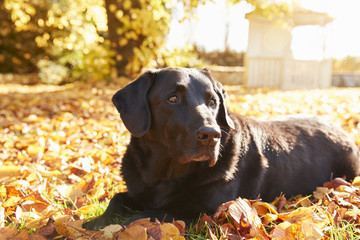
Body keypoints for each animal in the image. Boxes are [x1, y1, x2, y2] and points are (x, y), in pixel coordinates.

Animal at [83, 66, 360, 230]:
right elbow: (117, 199)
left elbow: (145, 215)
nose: (211, 135)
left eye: (213, 101)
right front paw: (95, 222)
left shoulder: (201, 207)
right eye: (173, 98)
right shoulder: (140, 190)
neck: (165, 175)